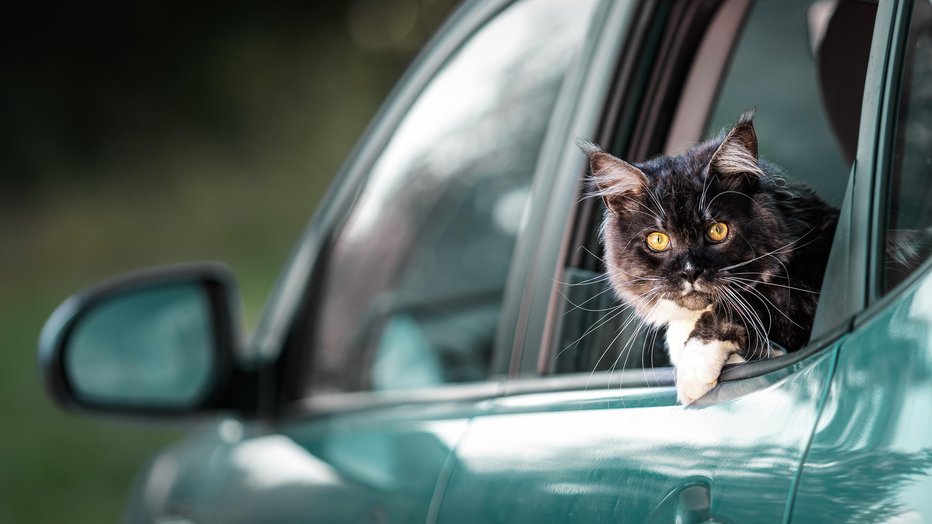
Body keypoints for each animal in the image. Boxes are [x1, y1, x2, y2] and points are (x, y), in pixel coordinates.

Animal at [584, 110, 836, 406]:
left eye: (717, 231)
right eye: (658, 240)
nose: (690, 271)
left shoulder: (803, 296)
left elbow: (739, 305)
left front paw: (693, 371)